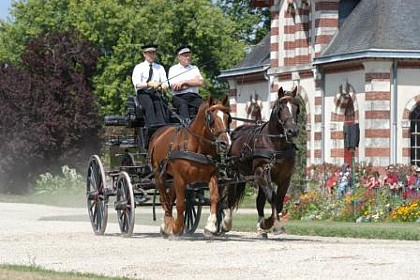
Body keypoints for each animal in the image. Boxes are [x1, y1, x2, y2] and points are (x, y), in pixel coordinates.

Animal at [148, 95, 231, 237]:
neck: (197, 147)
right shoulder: (180, 178)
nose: (225, 143)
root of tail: (158, 132)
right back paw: (168, 224)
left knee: (170, 197)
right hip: (160, 174)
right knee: (164, 198)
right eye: (212, 119)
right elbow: (181, 203)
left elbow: (215, 198)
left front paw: (210, 226)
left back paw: (166, 225)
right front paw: (177, 228)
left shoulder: (212, 175)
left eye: (228, 118)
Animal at [225, 86, 300, 237]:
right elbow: (272, 197)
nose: (292, 131)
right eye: (281, 107)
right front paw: (273, 224)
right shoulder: (262, 172)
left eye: (297, 107)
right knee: (230, 196)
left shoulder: (285, 177)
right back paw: (226, 222)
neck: (276, 144)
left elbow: (279, 200)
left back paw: (260, 227)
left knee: (259, 201)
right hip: (233, 173)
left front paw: (267, 223)